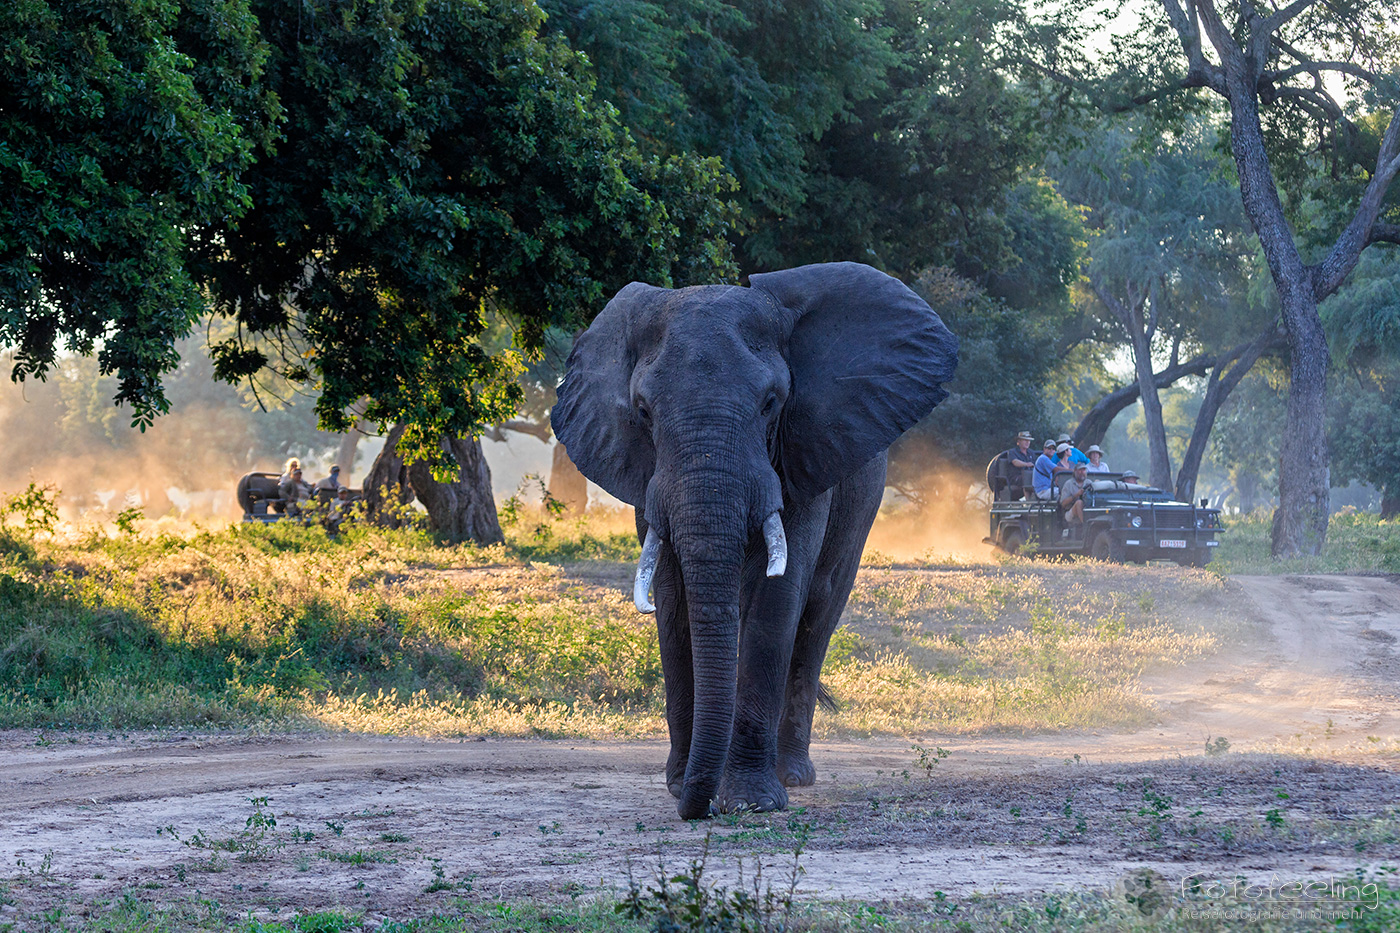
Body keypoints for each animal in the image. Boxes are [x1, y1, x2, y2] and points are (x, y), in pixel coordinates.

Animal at [551, 261, 958, 819]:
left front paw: (750, 801)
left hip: (863, 500)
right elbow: (675, 600)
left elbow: (775, 601)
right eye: (643, 411)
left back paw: (793, 775)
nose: (698, 807)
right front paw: (681, 786)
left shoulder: (802, 453)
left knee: (817, 617)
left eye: (770, 404)